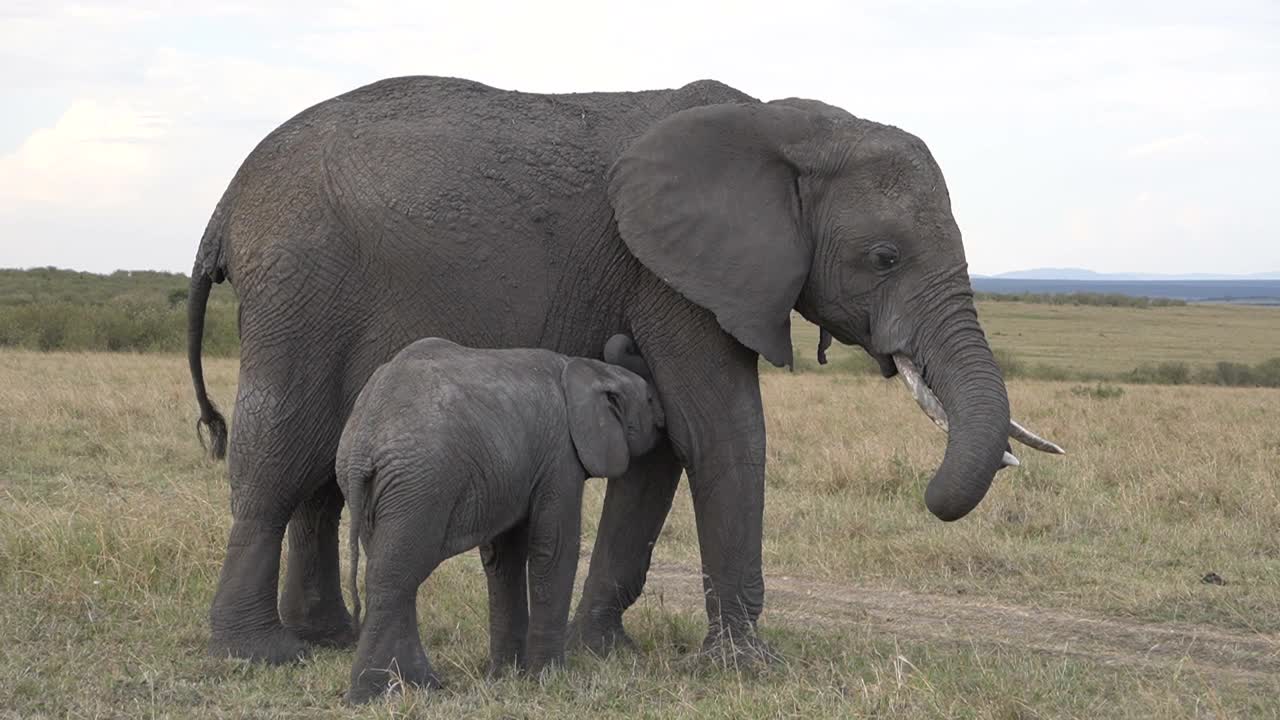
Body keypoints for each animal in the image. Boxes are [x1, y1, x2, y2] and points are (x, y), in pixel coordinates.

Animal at [186, 74, 1059, 661]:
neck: (788, 126)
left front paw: (603, 652)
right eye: (884, 258)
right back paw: (261, 654)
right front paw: (745, 668)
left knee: (323, 471)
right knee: (280, 454)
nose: (933, 494)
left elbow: (663, 446)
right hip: (301, 280)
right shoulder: (668, 273)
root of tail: (225, 202)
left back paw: (330, 639)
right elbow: (721, 432)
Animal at [335, 335, 665, 702]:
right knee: (395, 575)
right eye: (649, 399)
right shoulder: (560, 455)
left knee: (393, 569)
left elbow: (504, 559)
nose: (663, 421)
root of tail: (363, 442)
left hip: (382, 489)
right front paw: (549, 679)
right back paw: (372, 693)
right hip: (421, 484)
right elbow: (554, 548)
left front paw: (506, 675)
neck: (587, 369)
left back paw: (418, 685)